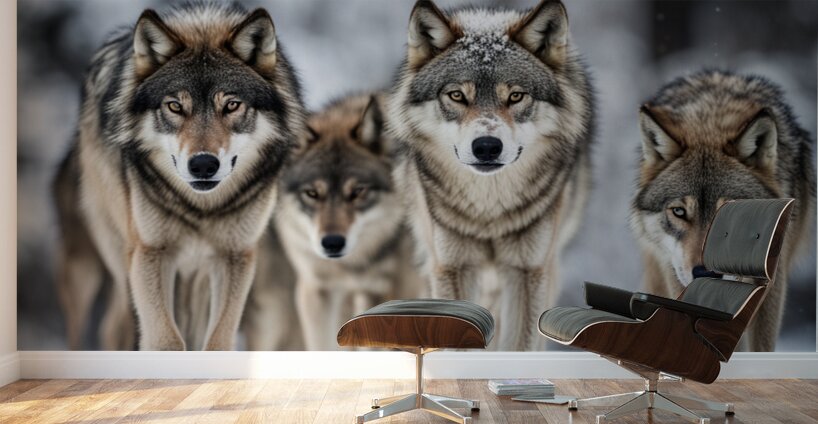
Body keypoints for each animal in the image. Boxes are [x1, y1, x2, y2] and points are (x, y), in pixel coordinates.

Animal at [53, 2, 306, 350]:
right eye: (174, 106)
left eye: (232, 105)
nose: (203, 165)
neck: (200, 208)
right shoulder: (150, 253)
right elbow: (167, 340)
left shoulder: (235, 256)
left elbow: (217, 342)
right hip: (97, 267)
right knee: (105, 327)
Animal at [275, 93, 422, 351]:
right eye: (312, 193)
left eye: (357, 192)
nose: (332, 243)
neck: (350, 266)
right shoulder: (317, 290)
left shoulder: (386, 293)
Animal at [387, 0, 595, 351]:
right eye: (457, 95)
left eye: (516, 96)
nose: (486, 146)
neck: (489, 211)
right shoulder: (452, 267)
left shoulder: (527, 271)